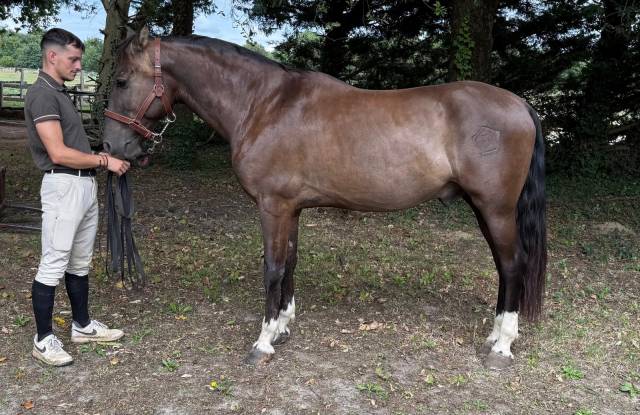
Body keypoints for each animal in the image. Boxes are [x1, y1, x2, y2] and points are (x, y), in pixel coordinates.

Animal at [102, 27, 546, 370]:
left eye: (122, 80)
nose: (111, 146)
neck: (264, 105)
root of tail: (520, 104)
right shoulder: (291, 209)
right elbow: (290, 264)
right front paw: (282, 326)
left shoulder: (273, 206)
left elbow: (273, 269)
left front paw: (262, 343)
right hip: (484, 209)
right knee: (504, 268)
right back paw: (495, 335)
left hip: (496, 208)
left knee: (512, 265)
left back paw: (502, 347)